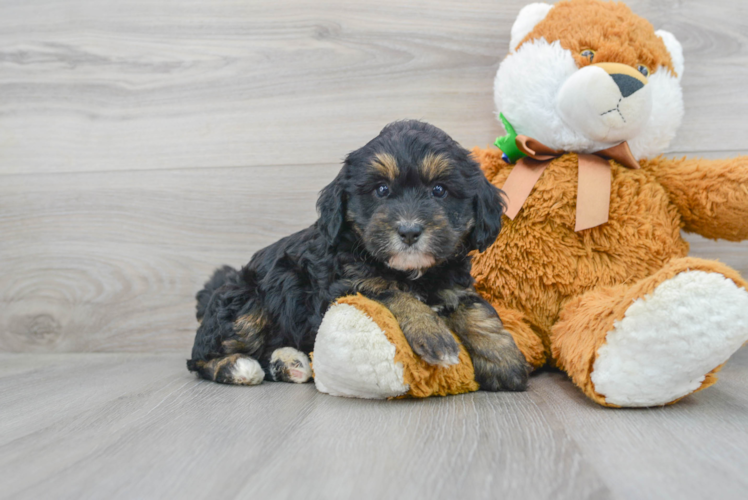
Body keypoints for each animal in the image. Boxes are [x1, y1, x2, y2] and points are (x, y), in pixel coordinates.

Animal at [187, 121, 528, 390]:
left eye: (440, 191)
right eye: (381, 190)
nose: (409, 231)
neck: (412, 272)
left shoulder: (454, 285)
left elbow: (477, 311)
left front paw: (503, 359)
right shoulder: (346, 285)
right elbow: (394, 294)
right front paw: (433, 334)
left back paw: (290, 363)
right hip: (245, 304)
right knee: (199, 359)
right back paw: (239, 367)